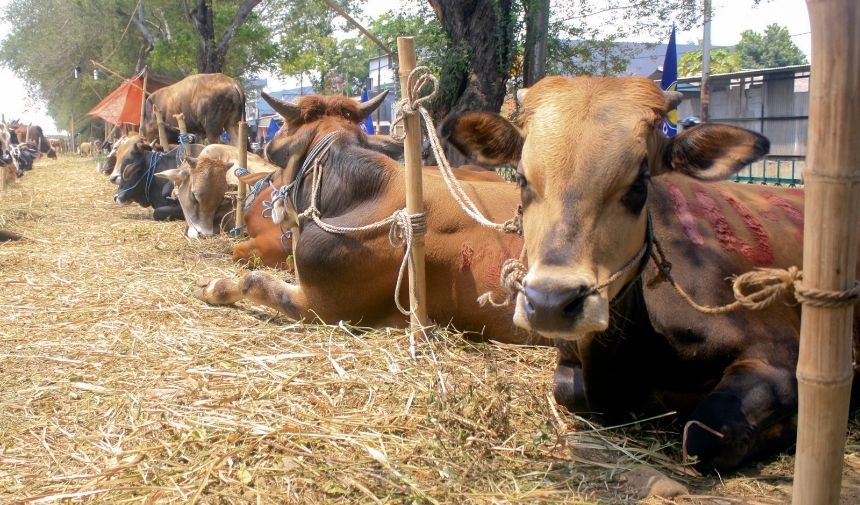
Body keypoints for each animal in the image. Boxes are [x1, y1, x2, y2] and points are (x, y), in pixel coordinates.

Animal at [444, 76, 860, 472]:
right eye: (522, 179)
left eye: (640, 181)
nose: (550, 303)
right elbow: (568, 392)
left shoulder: (780, 354)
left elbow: (704, 433)